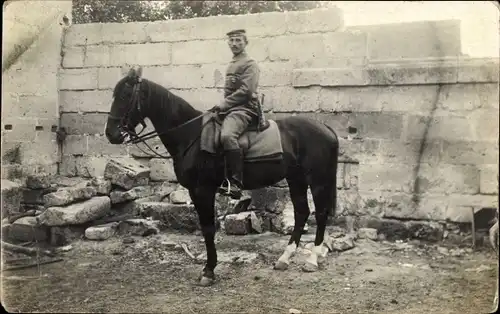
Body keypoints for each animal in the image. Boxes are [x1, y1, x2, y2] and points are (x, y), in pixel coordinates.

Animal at [105, 67, 340, 288]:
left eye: (125, 95)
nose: (110, 134)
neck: (191, 135)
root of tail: (326, 128)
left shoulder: (203, 190)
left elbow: (208, 229)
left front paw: (209, 271)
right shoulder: (196, 192)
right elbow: (206, 228)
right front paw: (208, 268)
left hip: (317, 181)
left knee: (320, 214)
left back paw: (312, 259)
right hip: (296, 179)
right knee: (302, 213)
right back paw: (285, 258)